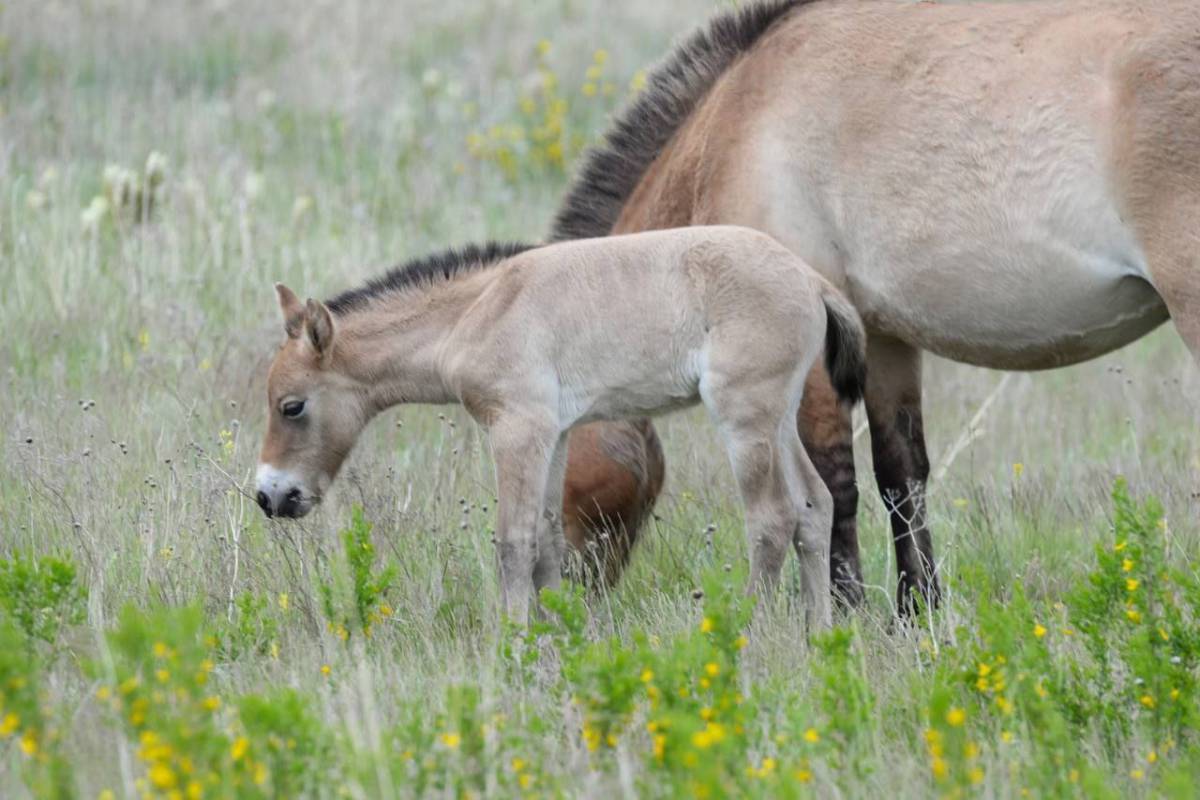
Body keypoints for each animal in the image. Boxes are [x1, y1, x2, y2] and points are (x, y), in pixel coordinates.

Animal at [258, 226, 868, 633]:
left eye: (292, 406)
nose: (270, 496)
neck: (478, 312)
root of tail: (810, 279)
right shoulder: (555, 435)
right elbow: (548, 540)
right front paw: (559, 638)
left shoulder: (518, 429)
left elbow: (513, 541)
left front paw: (512, 643)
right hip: (779, 419)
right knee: (814, 507)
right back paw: (818, 639)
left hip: (745, 418)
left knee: (772, 519)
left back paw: (750, 634)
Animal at [552, 0, 1200, 609]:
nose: (564, 602)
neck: (735, 125)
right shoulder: (885, 338)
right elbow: (901, 476)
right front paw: (918, 613)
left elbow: (832, 486)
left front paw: (845, 613)